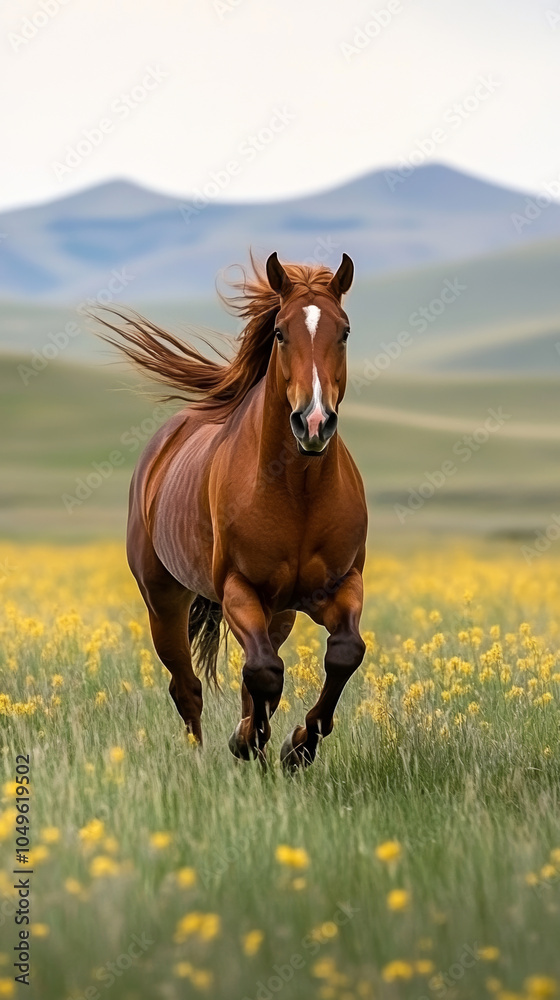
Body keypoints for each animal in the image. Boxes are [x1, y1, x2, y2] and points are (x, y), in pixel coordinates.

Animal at [100, 252, 367, 768]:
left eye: (344, 331)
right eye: (280, 332)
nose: (314, 423)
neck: (298, 488)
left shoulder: (343, 582)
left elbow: (343, 653)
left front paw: (298, 745)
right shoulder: (238, 589)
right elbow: (263, 672)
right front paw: (252, 742)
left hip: (279, 612)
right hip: (164, 600)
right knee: (187, 686)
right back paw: (204, 757)